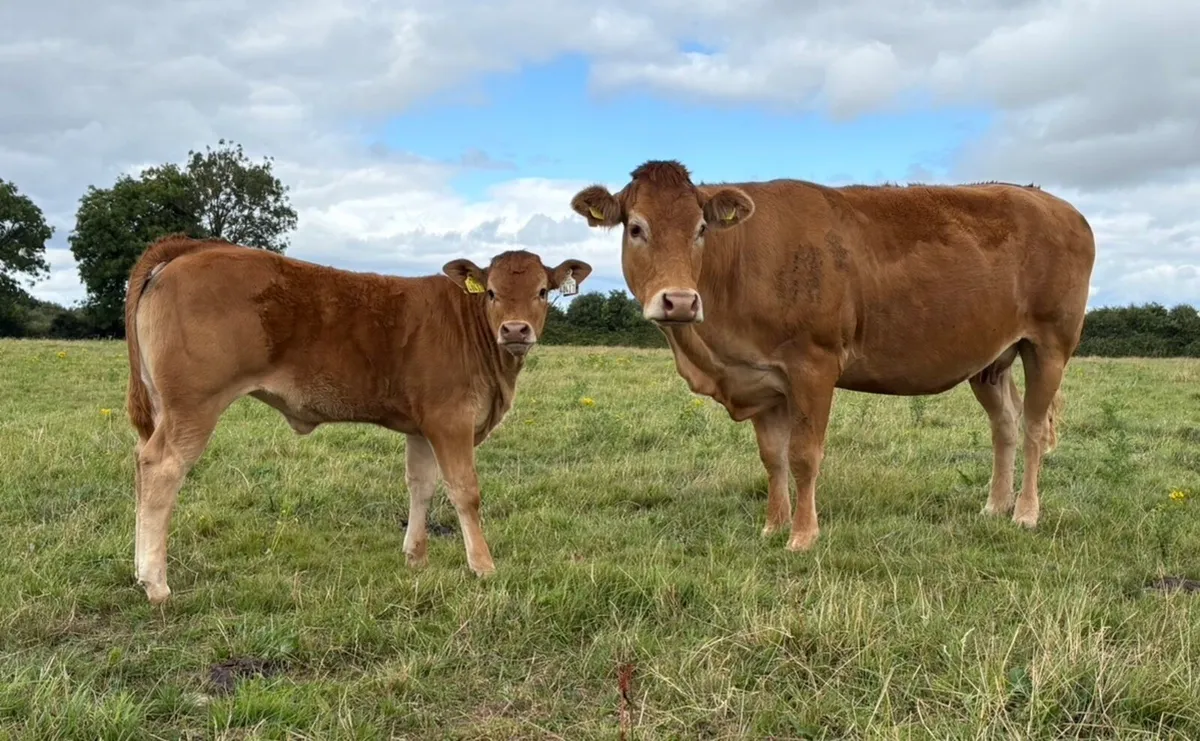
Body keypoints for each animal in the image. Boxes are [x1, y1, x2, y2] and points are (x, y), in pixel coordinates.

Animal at [123, 234, 591, 604]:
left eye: (543, 291)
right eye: (491, 292)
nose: (516, 330)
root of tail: (193, 247)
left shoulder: (423, 426)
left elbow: (421, 486)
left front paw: (416, 556)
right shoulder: (451, 421)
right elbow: (465, 491)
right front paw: (482, 565)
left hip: (165, 406)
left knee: (142, 464)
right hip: (194, 405)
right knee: (161, 469)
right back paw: (155, 582)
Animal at [570, 160, 1095, 553]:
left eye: (701, 229)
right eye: (636, 228)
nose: (679, 301)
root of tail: (1055, 202)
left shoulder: (814, 366)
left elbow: (803, 456)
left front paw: (803, 536)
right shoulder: (762, 379)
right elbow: (773, 458)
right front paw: (773, 526)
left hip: (1049, 344)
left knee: (1032, 427)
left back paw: (1025, 514)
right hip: (991, 359)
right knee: (1004, 425)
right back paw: (994, 506)